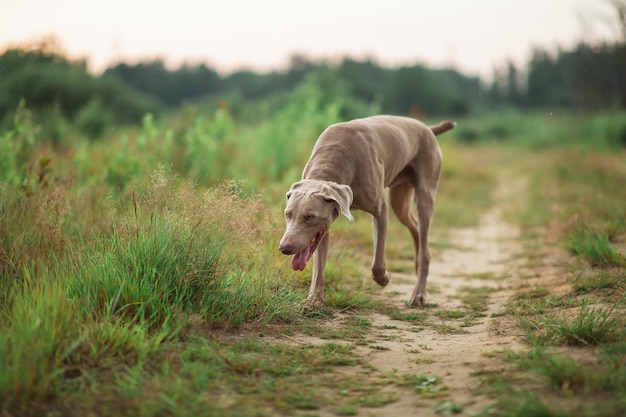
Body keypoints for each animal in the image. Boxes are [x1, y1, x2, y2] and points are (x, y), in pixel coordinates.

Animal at [278, 115, 454, 308]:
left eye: (310, 216)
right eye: (287, 214)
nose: (284, 248)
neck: (334, 159)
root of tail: (428, 129)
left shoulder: (380, 210)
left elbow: (377, 262)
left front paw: (384, 278)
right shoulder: (323, 227)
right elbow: (319, 266)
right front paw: (313, 301)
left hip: (425, 190)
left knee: (424, 243)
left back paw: (419, 293)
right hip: (400, 198)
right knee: (415, 227)